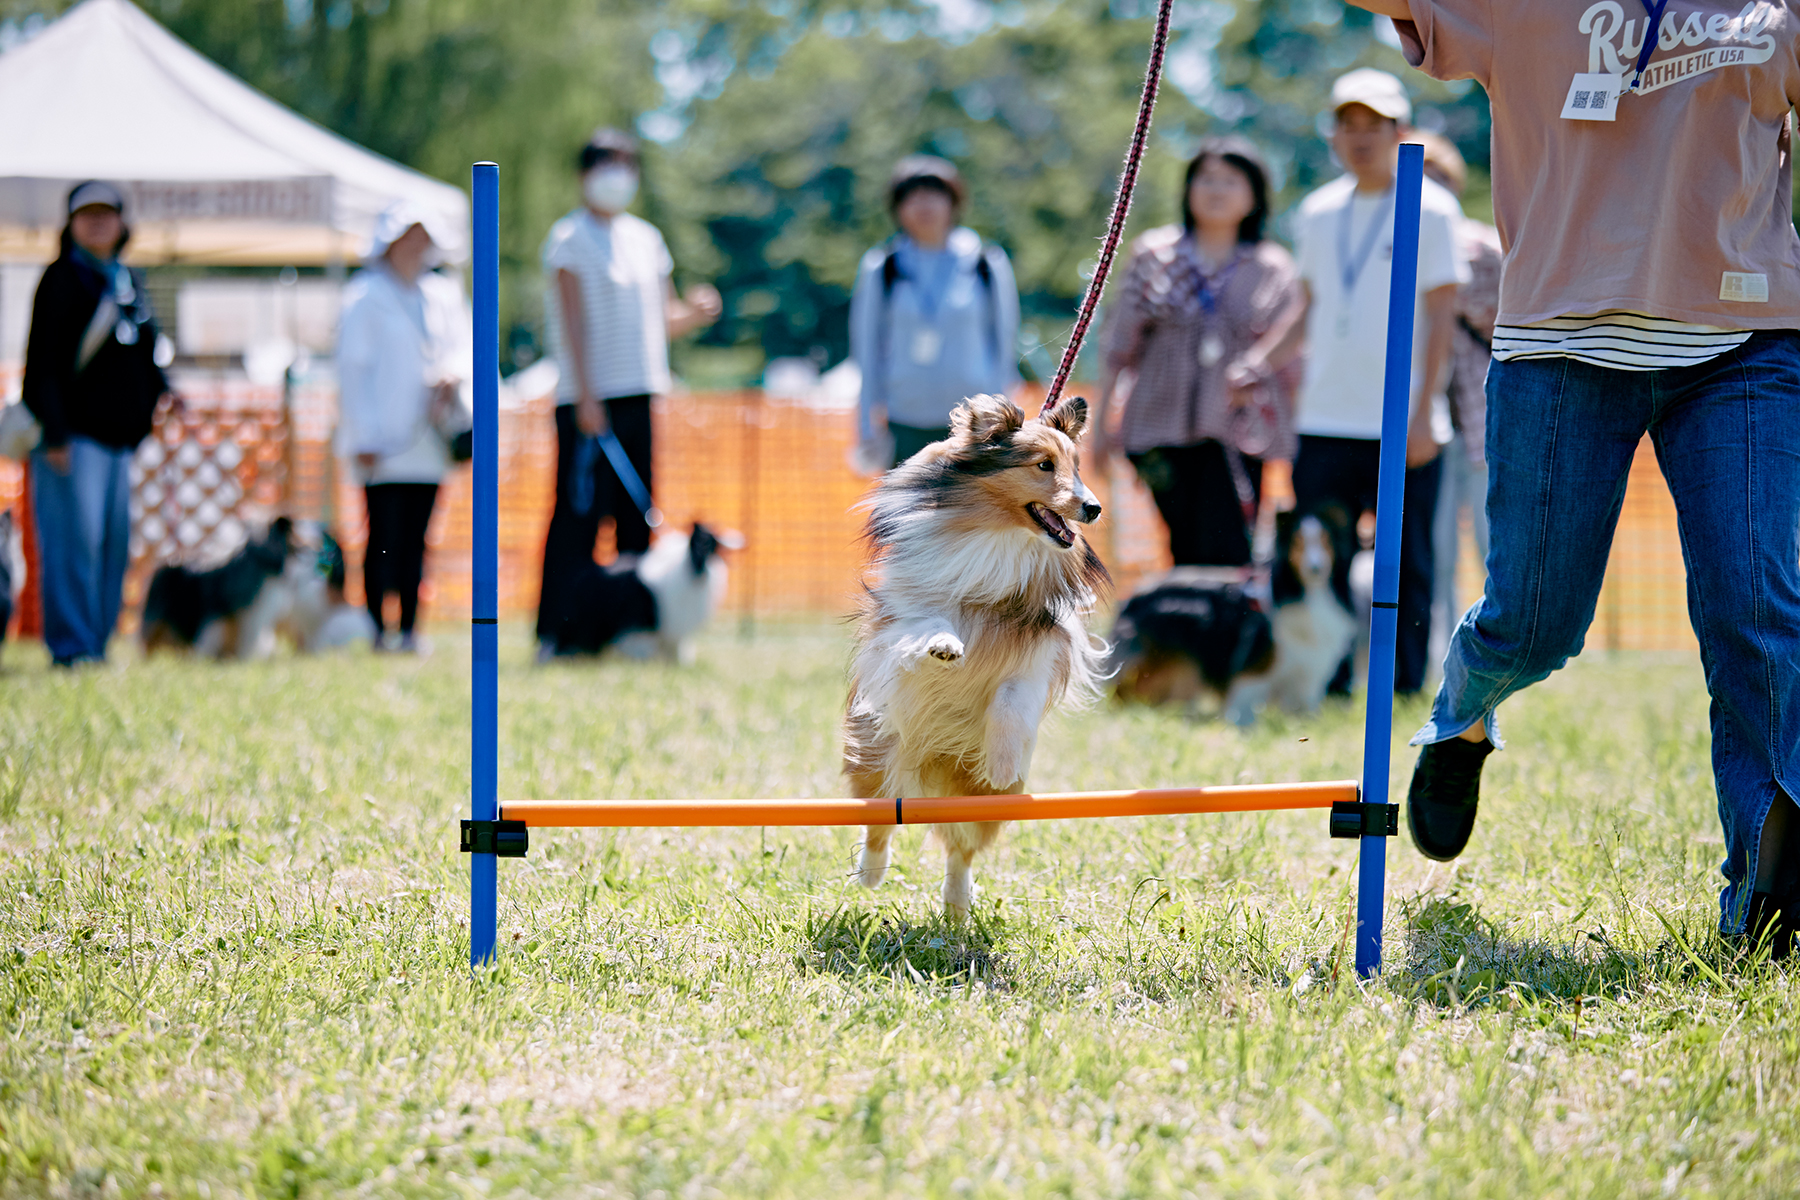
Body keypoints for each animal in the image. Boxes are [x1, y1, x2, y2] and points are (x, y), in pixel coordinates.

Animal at [842, 395, 1108, 921]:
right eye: (1044, 465)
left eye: (1077, 466)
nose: (1093, 507)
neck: (997, 536)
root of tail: (932, 773)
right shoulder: (905, 618)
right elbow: (928, 625)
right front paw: (945, 646)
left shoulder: (1037, 657)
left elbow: (1010, 701)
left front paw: (1002, 760)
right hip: (877, 760)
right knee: (880, 821)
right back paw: (871, 874)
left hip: (981, 801)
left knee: (960, 851)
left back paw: (957, 906)